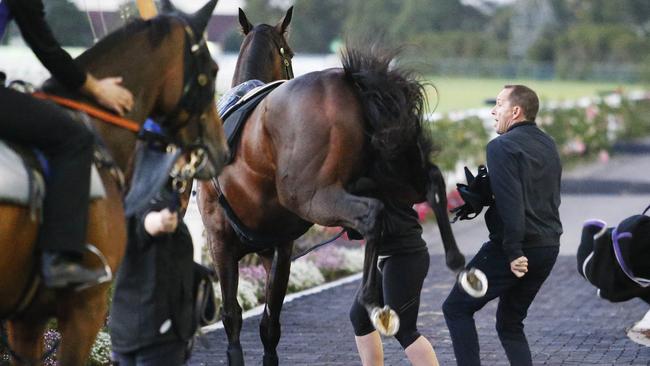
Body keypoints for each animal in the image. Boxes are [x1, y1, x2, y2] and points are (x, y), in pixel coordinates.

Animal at [196, 8, 476, 366]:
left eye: (290, 53)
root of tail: (348, 81)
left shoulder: (222, 242)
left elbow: (233, 317)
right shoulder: (278, 248)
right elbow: (270, 323)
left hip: (312, 197)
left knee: (372, 213)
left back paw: (372, 299)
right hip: (393, 170)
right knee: (431, 184)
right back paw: (457, 262)